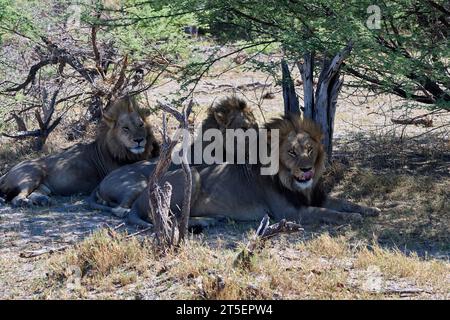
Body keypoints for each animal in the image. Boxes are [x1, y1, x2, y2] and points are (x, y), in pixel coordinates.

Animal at [0, 97, 161, 208]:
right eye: (125, 128)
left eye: (140, 125)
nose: (139, 140)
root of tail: (6, 172)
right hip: (32, 174)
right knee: (16, 198)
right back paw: (26, 203)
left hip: (43, 187)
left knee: (35, 194)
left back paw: (43, 200)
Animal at [125, 112, 380, 228]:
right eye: (291, 152)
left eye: (309, 149)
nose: (307, 169)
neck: (295, 184)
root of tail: (138, 199)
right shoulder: (290, 212)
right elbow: (326, 212)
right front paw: (353, 218)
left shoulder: (316, 196)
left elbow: (343, 202)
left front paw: (370, 209)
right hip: (194, 175)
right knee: (166, 217)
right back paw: (205, 221)